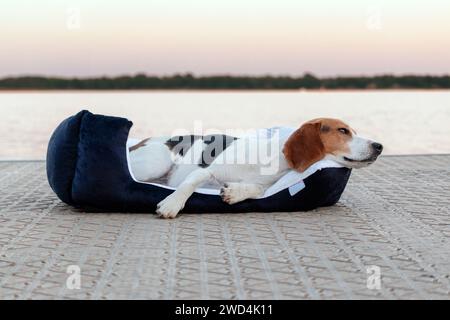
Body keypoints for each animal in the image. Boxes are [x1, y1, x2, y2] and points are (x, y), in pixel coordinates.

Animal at [129, 119, 384, 219]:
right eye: (343, 131)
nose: (379, 146)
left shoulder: (265, 185)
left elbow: (256, 190)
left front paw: (234, 192)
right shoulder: (206, 171)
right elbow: (189, 184)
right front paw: (171, 204)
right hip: (158, 161)